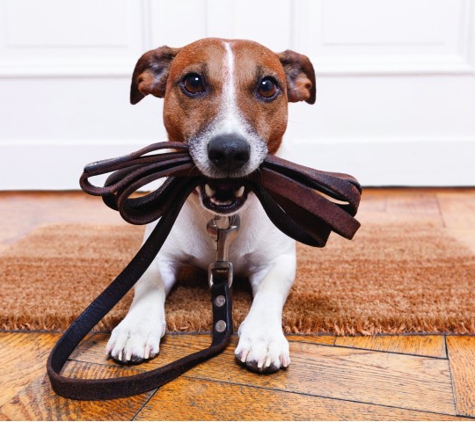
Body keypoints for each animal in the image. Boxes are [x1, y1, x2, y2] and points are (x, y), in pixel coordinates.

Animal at [106, 37, 318, 372]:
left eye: (267, 86)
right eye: (193, 82)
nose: (229, 151)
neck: (222, 221)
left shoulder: (278, 262)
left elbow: (270, 294)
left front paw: (263, 336)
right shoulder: (158, 256)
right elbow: (148, 284)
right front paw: (135, 327)